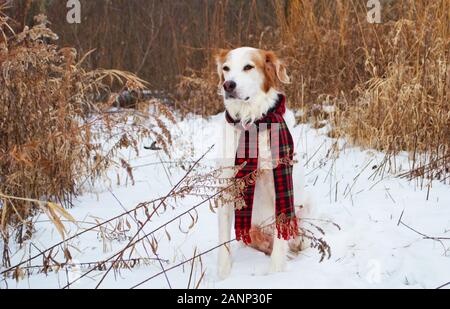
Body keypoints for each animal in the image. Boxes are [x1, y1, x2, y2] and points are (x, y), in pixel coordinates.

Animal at [214, 46, 310, 280]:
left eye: (248, 67)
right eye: (226, 68)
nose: (228, 85)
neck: (251, 122)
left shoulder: (279, 187)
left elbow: (281, 236)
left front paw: (276, 274)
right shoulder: (227, 188)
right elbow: (223, 241)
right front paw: (223, 275)